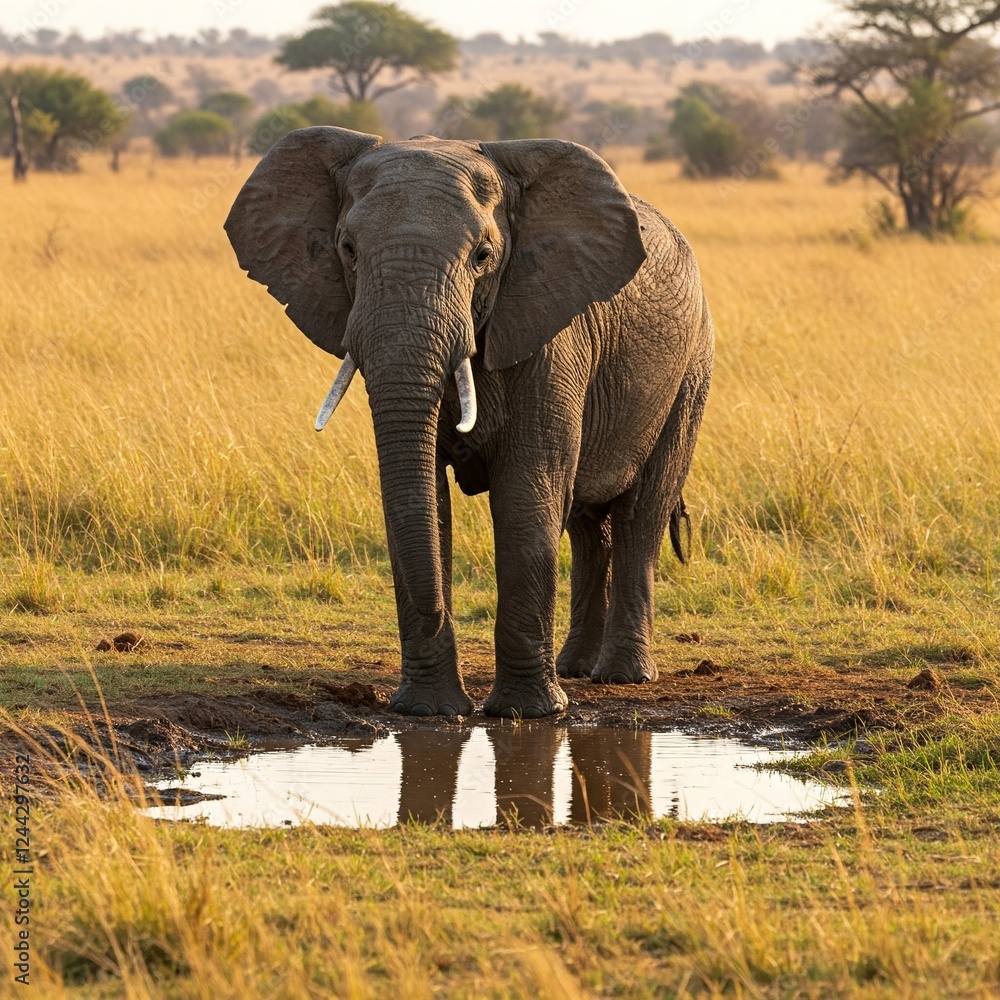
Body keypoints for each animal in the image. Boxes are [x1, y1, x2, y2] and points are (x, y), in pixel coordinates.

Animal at [225, 127, 713, 719]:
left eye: (483, 256)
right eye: (347, 249)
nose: (435, 612)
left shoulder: (551, 337)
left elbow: (526, 496)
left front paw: (528, 714)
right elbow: (423, 500)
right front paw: (429, 712)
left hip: (690, 371)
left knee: (641, 512)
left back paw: (622, 677)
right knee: (584, 522)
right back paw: (576, 669)